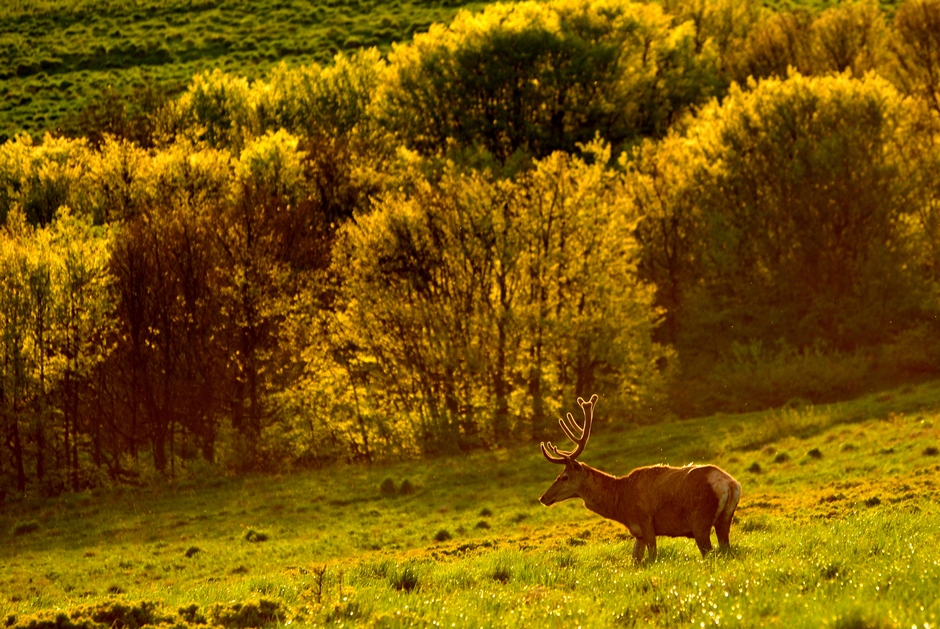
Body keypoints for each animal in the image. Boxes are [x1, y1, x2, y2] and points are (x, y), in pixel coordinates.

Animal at [536, 394, 740, 560]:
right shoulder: (638, 533)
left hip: (700, 519)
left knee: (710, 552)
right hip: (725, 518)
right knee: (726, 550)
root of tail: (730, 484)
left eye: (564, 476)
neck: (620, 503)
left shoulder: (645, 520)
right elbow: (635, 560)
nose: (543, 497)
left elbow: (653, 557)